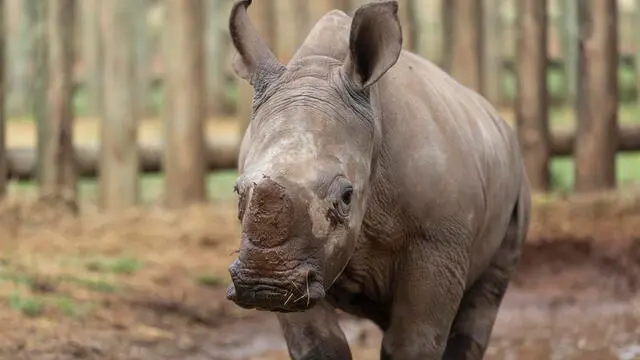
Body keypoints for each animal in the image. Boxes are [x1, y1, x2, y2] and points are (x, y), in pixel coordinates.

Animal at [225, 1, 528, 358]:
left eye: (346, 197)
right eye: (237, 191)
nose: (265, 284)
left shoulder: (438, 242)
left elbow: (413, 341)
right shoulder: (305, 266)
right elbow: (317, 343)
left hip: (516, 175)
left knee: (488, 290)